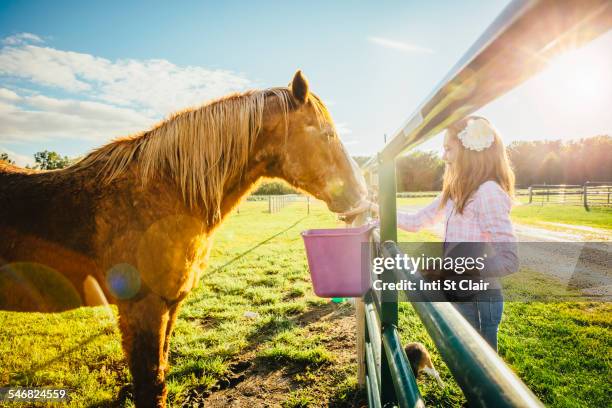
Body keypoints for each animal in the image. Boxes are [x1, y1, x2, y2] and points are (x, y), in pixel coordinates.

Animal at [0, 71, 368, 406]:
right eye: (327, 134)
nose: (361, 194)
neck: (159, 196)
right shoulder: (142, 309)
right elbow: (149, 385)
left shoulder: (170, 303)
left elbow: (160, 373)